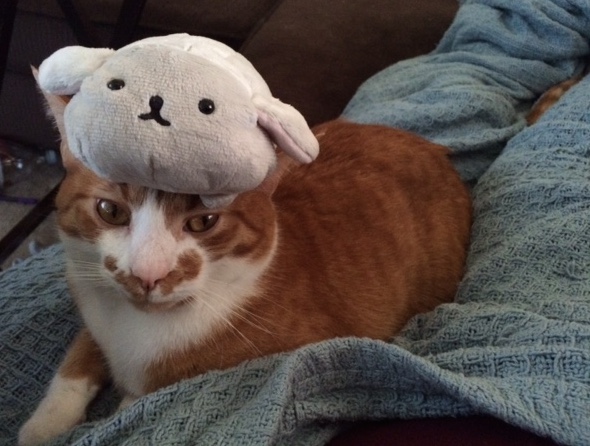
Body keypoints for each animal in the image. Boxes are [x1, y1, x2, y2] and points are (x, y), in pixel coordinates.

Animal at [17, 89, 472, 444]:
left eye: (203, 221)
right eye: (110, 211)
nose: (148, 275)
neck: (137, 330)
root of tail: (434, 147)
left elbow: (139, 403)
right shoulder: (94, 307)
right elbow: (78, 359)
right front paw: (44, 424)